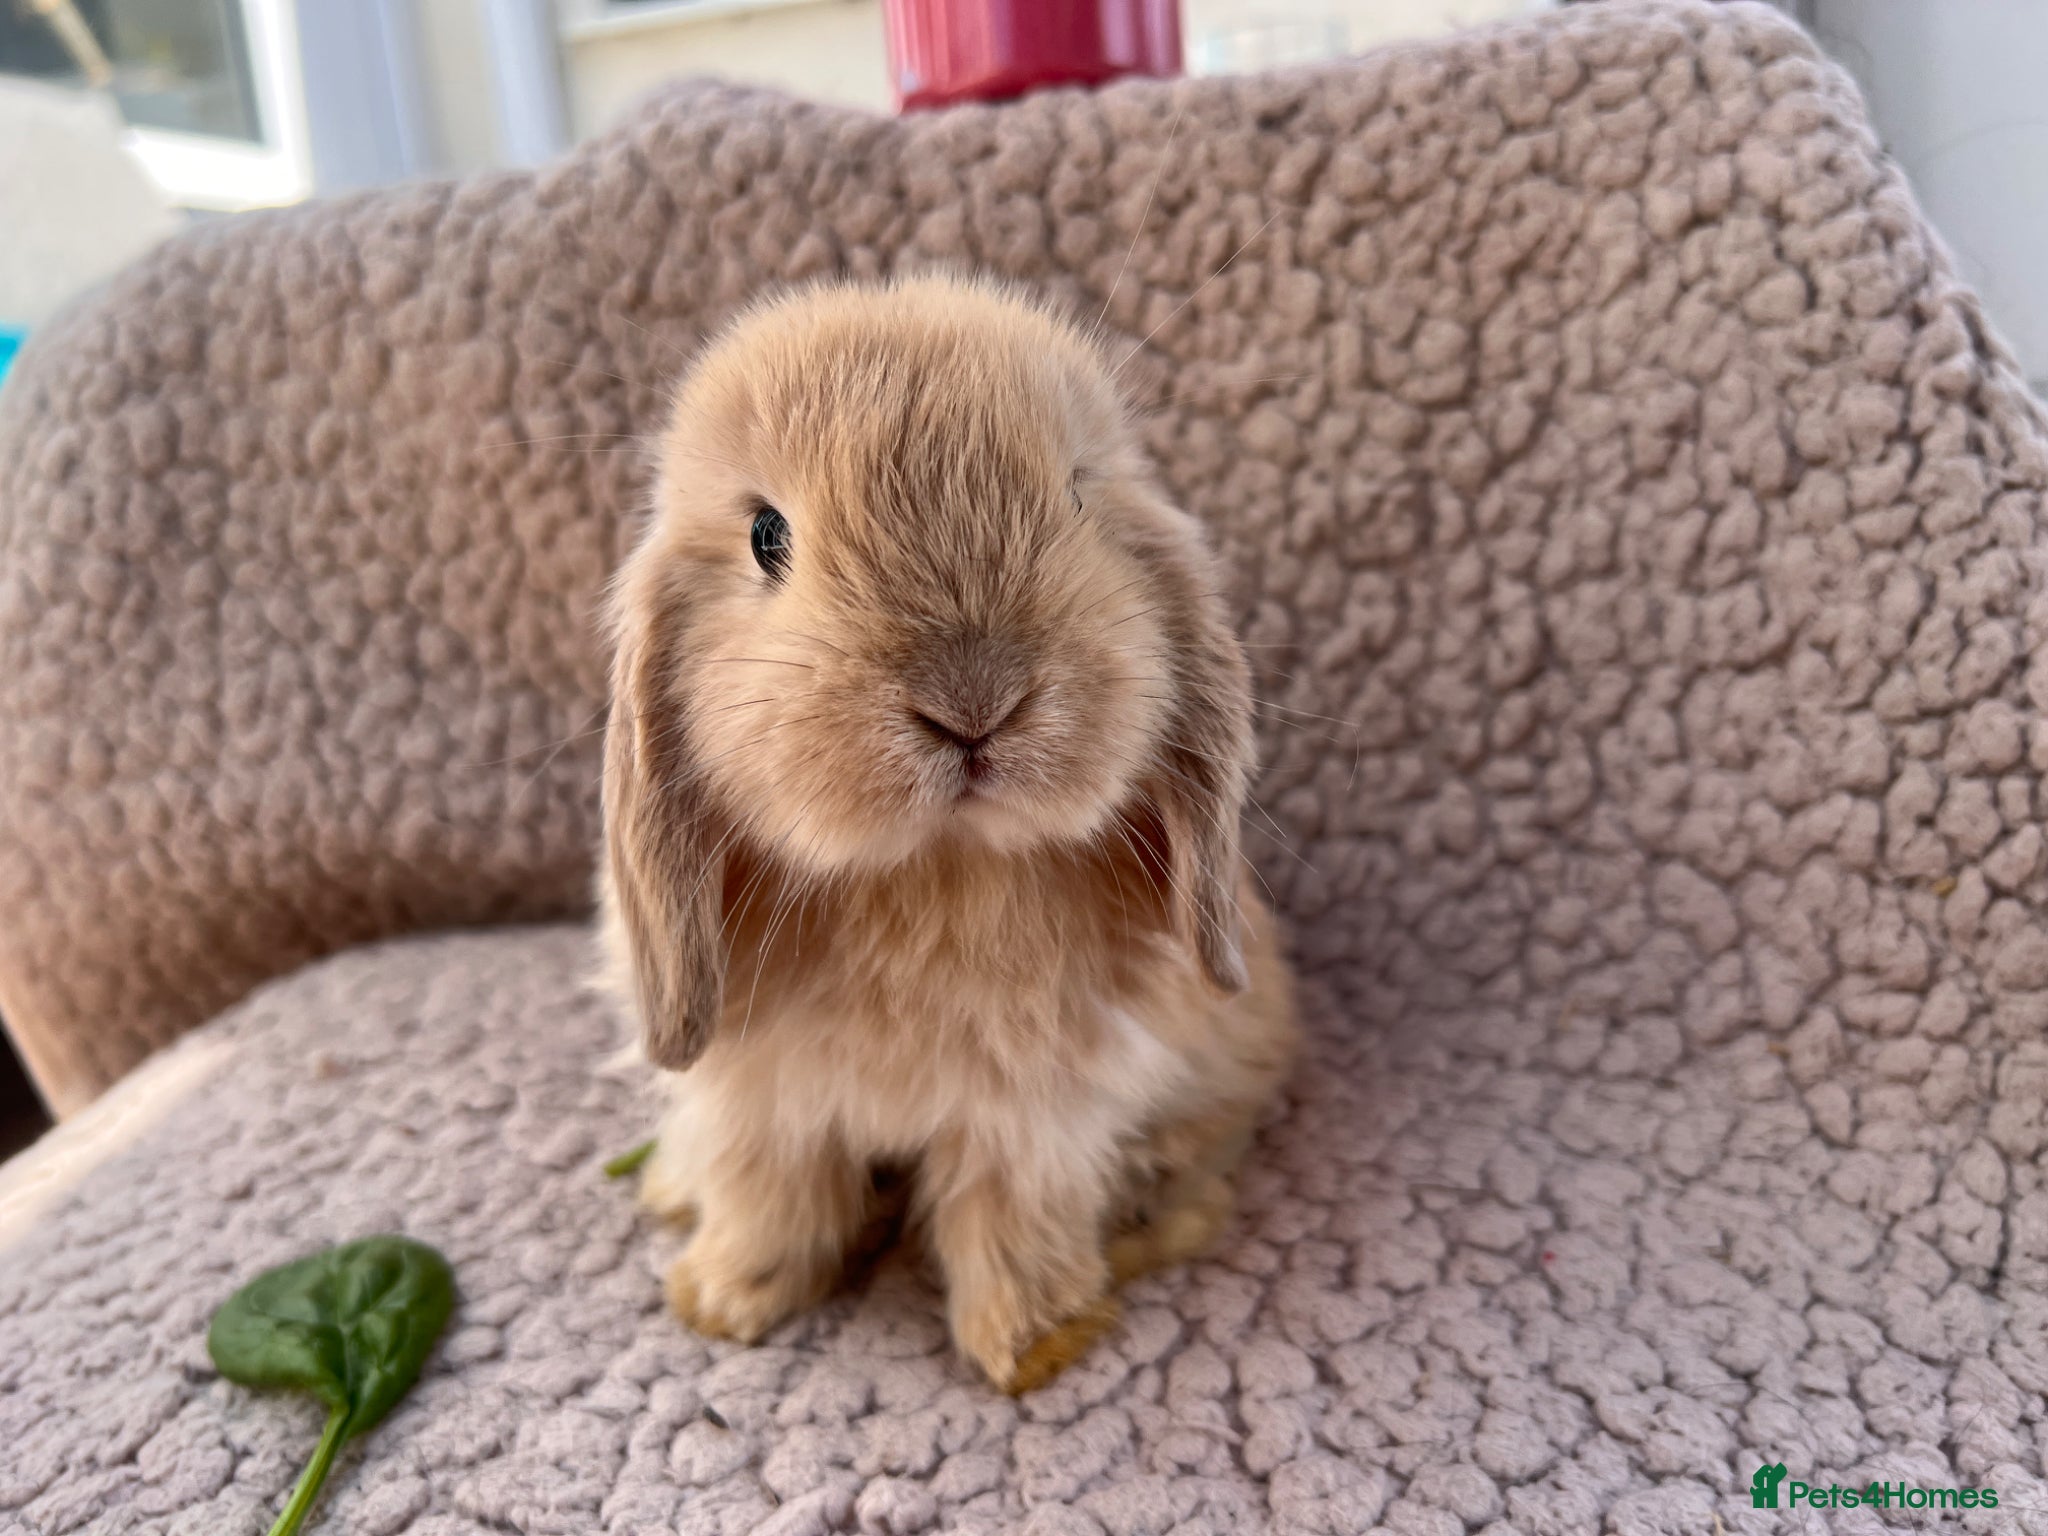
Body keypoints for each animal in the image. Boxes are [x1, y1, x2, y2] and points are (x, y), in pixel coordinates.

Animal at [599, 274, 1296, 1393]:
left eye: (1077, 498)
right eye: (766, 538)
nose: (973, 702)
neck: (929, 871)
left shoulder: (1037, 1113)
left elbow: (1011, 1219)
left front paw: (1031, 1349)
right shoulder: (760, 1099)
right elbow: (768, 1198)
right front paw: (722, 1303)